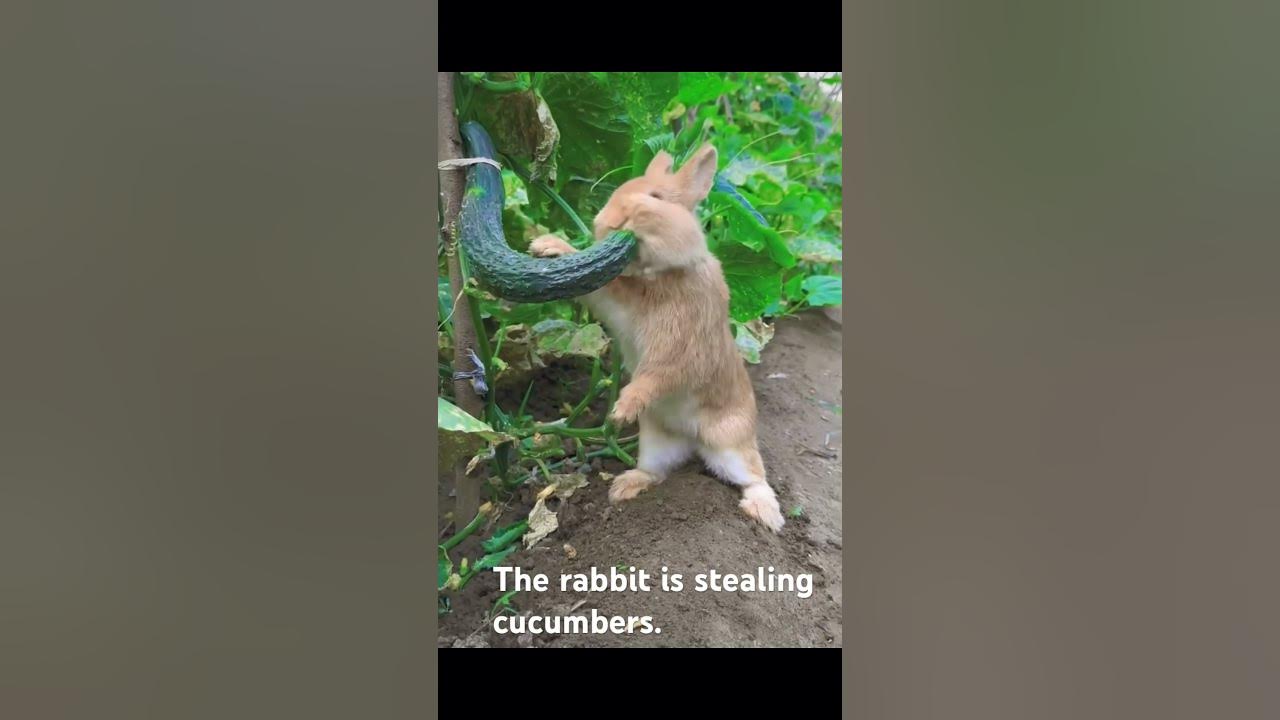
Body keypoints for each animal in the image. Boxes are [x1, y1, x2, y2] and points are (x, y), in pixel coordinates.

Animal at [526, 144, 784, 533]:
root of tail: (692, 439)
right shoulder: (618, 302)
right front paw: (547, 246)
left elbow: (655, 377)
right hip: (656, 442)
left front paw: (621, 411)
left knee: (754, 477)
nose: (608, 221)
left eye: (656, 197)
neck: (663, 274)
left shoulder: (680, 351)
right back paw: (624, 487)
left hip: (730, 444)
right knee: (657, 471)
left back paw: (766, 514)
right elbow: (600, 288)